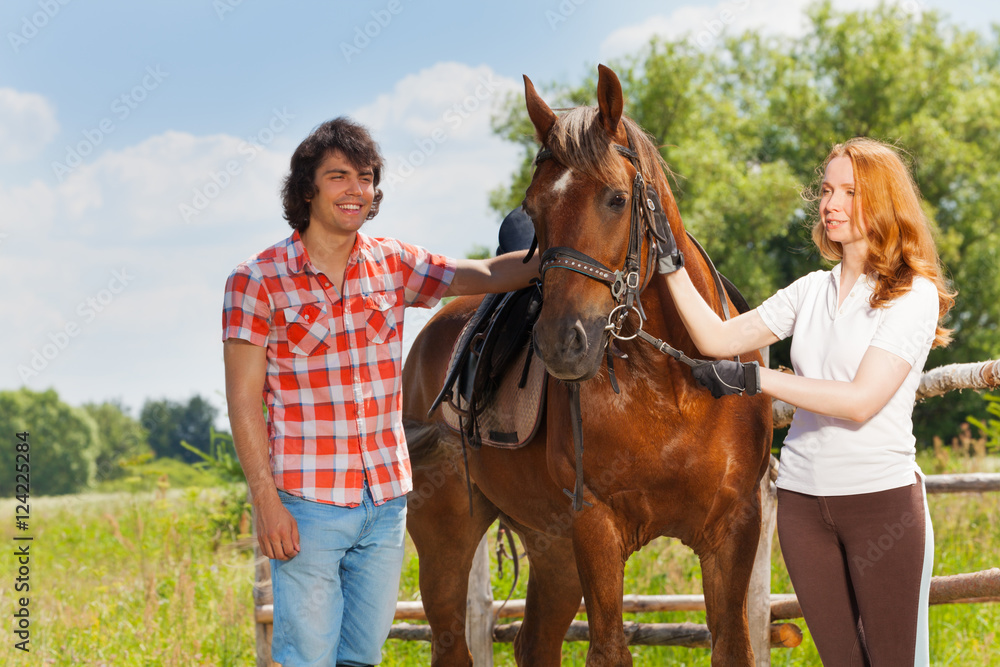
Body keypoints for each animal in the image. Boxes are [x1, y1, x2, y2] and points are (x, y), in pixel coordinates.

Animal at [402, 64, 772, 666]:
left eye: (617, 199)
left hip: (550, 545)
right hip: (445, 532)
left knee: (534, 641)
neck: (672, 388)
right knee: (452, 641)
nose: (561, 343)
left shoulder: (734, 528)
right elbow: (609, 649)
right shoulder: (595, 526)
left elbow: (734, 646)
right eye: (533, 210)